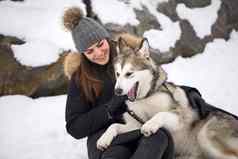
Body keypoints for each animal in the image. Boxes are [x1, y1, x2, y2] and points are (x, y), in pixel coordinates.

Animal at [96, 38, 238, 158]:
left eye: (129, 74)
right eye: (117, 74)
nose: (117, 91)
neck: (145, 99)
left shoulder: (179, 117)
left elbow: (160, 114)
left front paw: (150, 125)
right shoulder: (135, 125)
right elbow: (113, 125)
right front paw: (104, 139)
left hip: (204, 135)